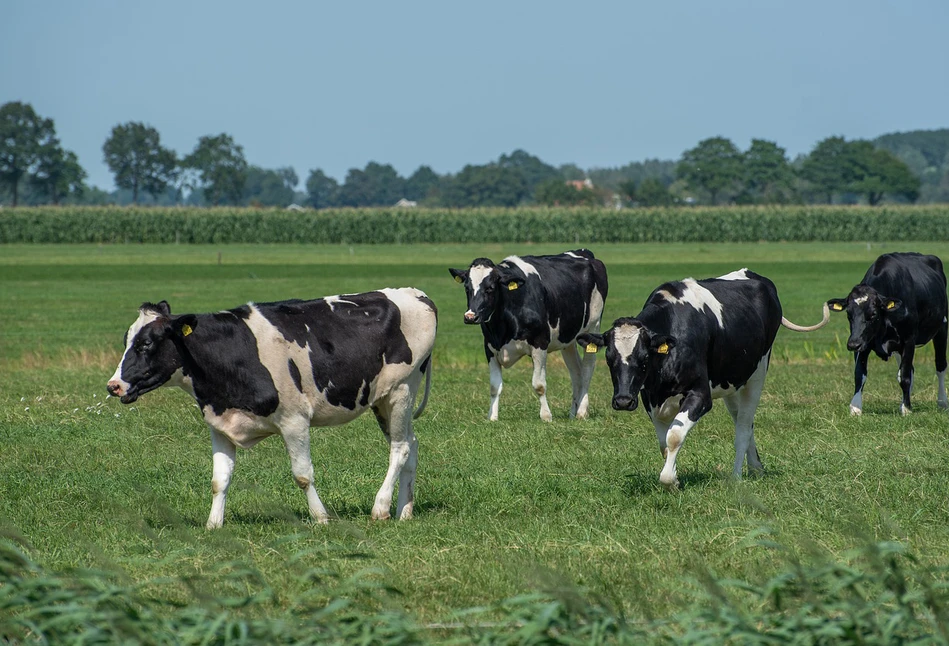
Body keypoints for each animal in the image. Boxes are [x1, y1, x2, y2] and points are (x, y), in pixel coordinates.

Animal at [106, 292, 436, 528]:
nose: (113, 385)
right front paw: (213, 524)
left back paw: (381, 507)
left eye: (146, 344)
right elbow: (219, 480)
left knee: (400, 448)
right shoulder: (219, 424)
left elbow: (303, 475)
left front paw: (321, 518)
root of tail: (415, 294)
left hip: (401, 391)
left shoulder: (295, 421)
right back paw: (405, 511)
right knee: (413, 444)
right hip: (382, 401)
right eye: (126, 341)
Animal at [446, 249, 608, 426]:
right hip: (568, 339)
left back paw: (582, 412)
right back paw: (573, 412)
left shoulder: (540, 343)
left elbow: (539, 385)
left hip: (593, 327)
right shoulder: (490, 347)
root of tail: (583, 252)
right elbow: (494, 386)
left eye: (490, 288)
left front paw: (546, 416)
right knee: (576, 371)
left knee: (587, 369)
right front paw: (492, 417)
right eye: (467, 288)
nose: (470, 317)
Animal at [572, 270, 824, 492]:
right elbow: (664, 445)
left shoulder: (700, 395)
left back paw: (736, 477)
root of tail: (754, 276)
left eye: (644, 358)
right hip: (732, 381)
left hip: (757, 373)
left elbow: (674, 437)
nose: (623, 401)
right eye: (609, 358)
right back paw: (756, 468)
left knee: (743, 428)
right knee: (744, 422)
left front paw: (669, 481)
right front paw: (674, 478)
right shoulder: (649, 399)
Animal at [824, 251, 948, 418]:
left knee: (940, 366)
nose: (852, 344)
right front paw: (856, 407)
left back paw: (942, 402)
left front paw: (906, 409)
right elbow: (859, 374)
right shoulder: (864, 342)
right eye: (849, 314)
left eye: (873, 314)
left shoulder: (908, 340)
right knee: (910, 370)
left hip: (942, 327)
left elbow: (904, 376)